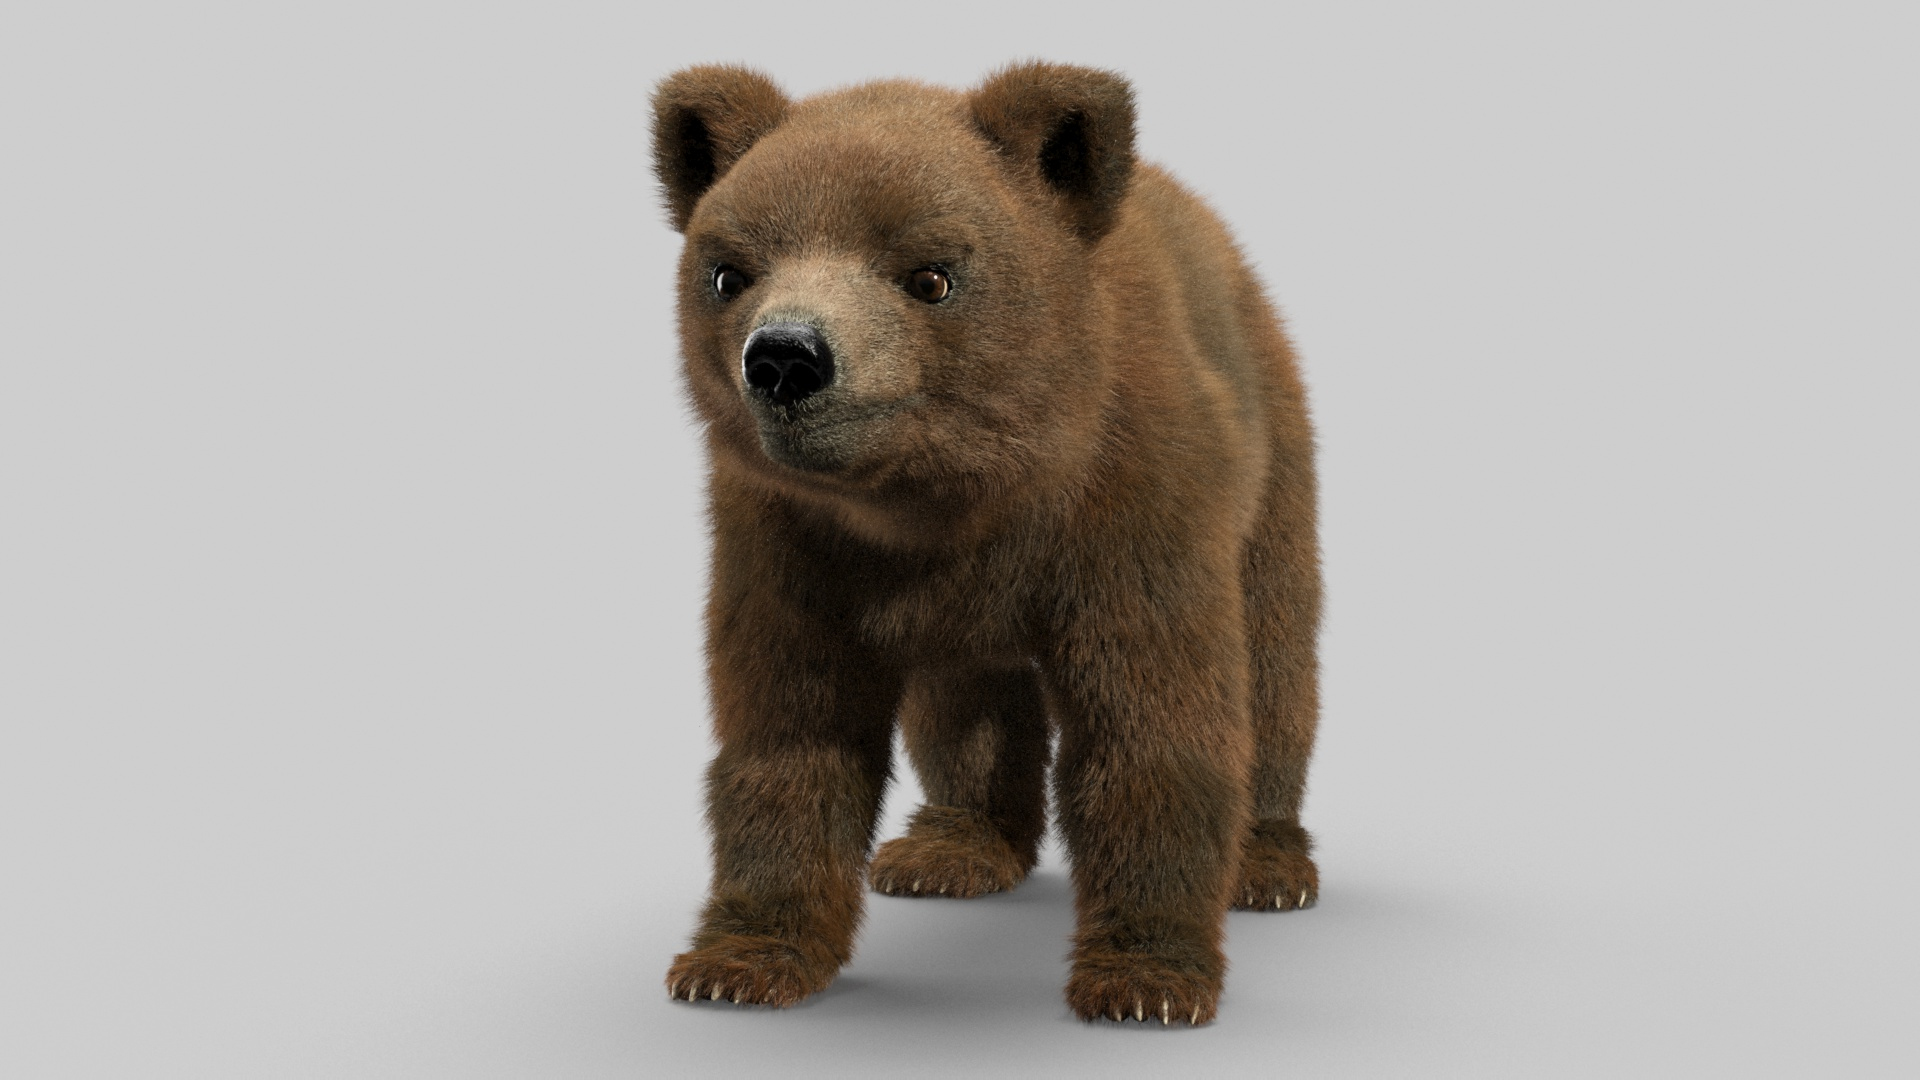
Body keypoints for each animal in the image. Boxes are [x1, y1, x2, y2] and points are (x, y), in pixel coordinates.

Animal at [650, 61, 1321, 1026]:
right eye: (729, 272)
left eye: (930, 277)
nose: (783, 358)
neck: (950, 498)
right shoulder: (790, 538)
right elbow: (790, 727)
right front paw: (737, 960)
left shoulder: (1131, 504)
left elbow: (1152, 720)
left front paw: (1146, 978)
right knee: (962, 700)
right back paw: (953, 848)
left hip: (1271, 451)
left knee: (1275, 661)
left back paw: (1268, 864)